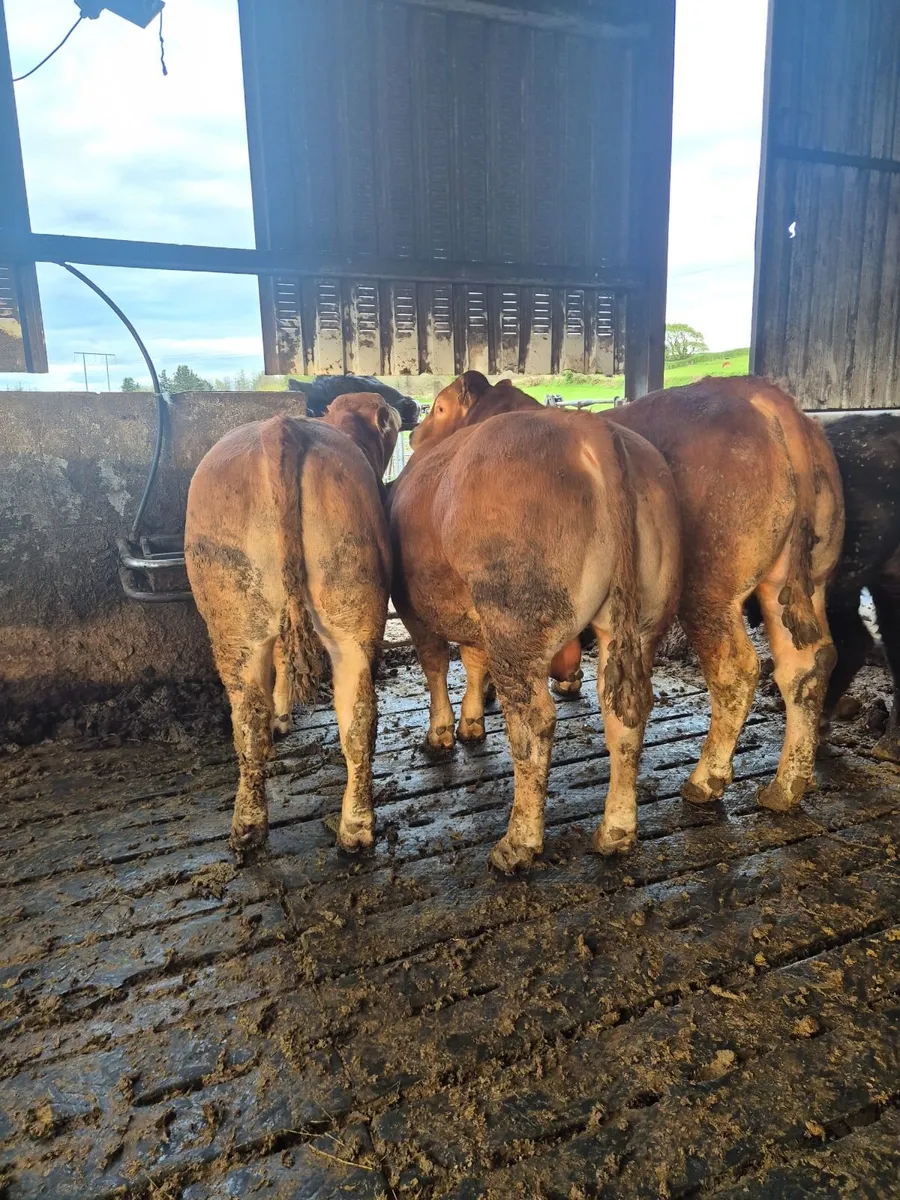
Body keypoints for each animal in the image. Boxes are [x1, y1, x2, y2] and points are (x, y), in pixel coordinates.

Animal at [185, 393, 400, 856]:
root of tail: (280, 430)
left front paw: (282, 716)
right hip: (326, 613)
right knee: (352, 718)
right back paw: (351, 827)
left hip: (249, 621)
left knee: (255, 720)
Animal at [390, 406, 681, 871]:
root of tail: (589, 427)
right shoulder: (475, 619)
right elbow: (474, 661)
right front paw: (471, 723)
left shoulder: (413, 608)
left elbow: (435, 663)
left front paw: (441, 732)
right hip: (640, 621)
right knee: (623, 715)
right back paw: (615, 833)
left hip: (514, 617)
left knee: (533, 721)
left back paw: (518, 843)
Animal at [411, 372, 845, 814]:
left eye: (440, 407)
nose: (413, 435)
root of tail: (766, 397)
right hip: (802, 582)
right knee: (807, 664)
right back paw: (789, 783)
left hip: (708, 588)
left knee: (736, 670)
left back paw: (707, 779)